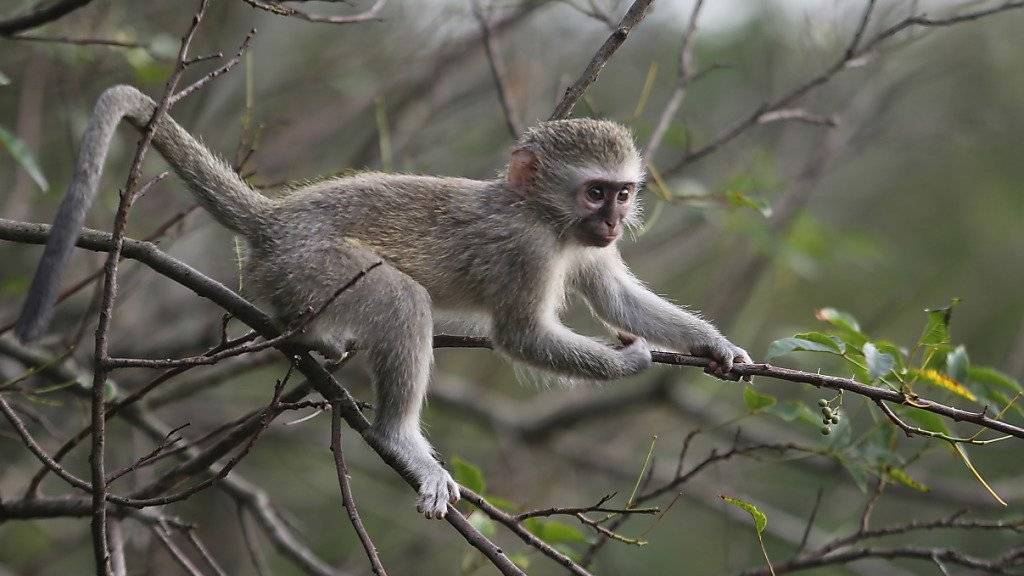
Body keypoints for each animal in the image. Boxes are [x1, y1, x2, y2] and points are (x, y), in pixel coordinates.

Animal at [14, 86, 753, 520]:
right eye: (595, 191)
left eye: (622, 193)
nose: (614, 219)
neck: (544, 216)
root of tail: (274, 220)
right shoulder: (527, 250)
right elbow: (519, 337)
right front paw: (631, 364)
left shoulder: (583, 247)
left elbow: (619, 297)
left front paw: (714, 346)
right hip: (313, 263)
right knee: (400, 299)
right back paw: (400, 436)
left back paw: (312, 340)